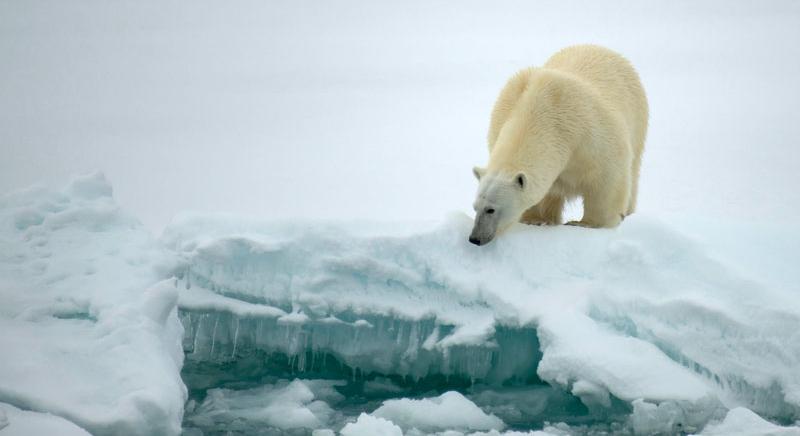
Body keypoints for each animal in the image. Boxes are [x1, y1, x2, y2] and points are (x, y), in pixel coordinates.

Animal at [468, 46, 648, 249]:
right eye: (475, 207)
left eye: (490, 209)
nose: (475, 238)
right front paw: (535, 220)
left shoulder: (590, 137)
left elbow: (606, 180)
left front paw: (587, 223)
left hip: (637, 117)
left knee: (633, 171)